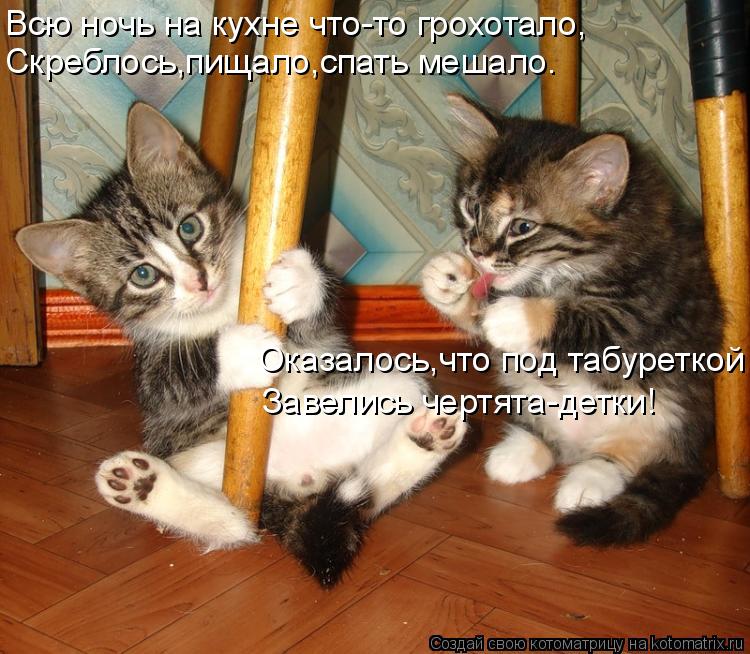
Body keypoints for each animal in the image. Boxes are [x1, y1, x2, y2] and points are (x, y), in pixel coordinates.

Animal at [16, 102, 467, 586]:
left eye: (189, 227)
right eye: (143, 275)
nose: (198, 281)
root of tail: (298, 480)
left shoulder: (327, 339)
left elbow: (324, 317)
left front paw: (300, 283)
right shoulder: (152, 376)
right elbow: (176, 377)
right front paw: (238, 351)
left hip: (390, 390)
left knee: (367, 493)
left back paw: (428, 438)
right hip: (194, 456)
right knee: (236, 525)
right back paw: (142, 486)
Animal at [421, 94, 722, 545]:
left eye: (522, 226)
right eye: (472, 208)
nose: (477, 252)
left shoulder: (640, 311)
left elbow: (579, 317)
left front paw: (509, 316)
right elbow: (483, 307)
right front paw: (450, 281)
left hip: (671, 414)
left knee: (627, 457)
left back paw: (586, 484)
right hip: (528, 393)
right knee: (551, 442)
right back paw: (518, 454)